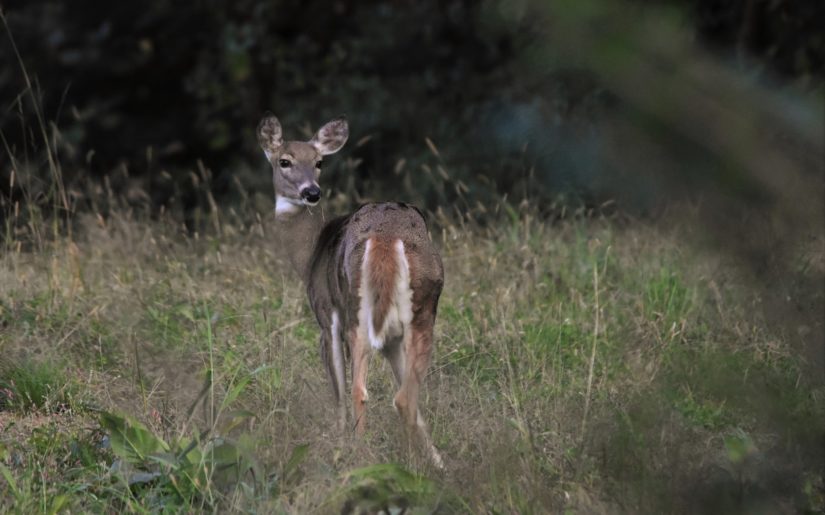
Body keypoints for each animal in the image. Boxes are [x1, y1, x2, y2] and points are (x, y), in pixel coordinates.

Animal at [258, 115, 444, 470]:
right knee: (408, 396)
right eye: (285, 161)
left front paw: (339, 440)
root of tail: (386, 238)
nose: (312, 192)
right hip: (422, 311)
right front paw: (437, 458)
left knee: (362, 390)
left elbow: (338, 387)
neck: (311, 253)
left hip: (356, 309)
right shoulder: (392, 339)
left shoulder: (326, 314)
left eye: (318, 162)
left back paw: (363, 457)